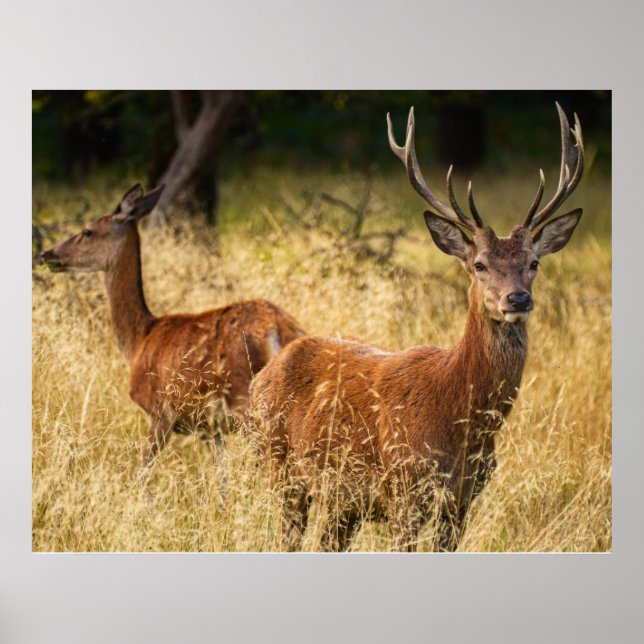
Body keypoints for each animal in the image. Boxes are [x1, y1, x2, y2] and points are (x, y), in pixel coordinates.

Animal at [39, 183, 305, 467]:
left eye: (87, 231)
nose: (46, 254)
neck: (138, 340)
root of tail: (278, 329)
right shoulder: (210, 429)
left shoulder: (159, 412)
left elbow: (142, 469)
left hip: (245, 398)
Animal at [249, 103, 584, 552]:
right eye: (479, 264)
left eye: (534, 262)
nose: (517, 299)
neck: (462, 422)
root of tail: (263, 374)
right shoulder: (404, 489)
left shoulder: (463, 500)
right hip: (280, 466)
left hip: (341, 500)